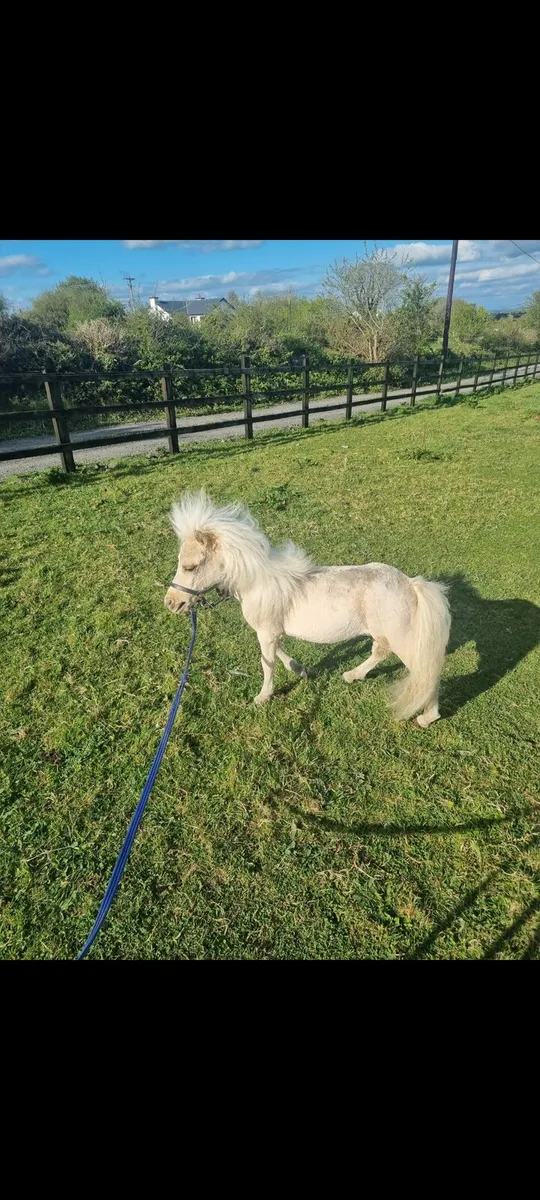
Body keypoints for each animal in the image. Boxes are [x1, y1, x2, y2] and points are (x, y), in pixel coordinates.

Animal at [164, 490, 451, 728]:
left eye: (190, 566)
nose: (171, 602)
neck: (258, 583)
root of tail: (410, 584)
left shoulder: (266, 632)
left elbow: (267, 663)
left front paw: (263, 697)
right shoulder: (271, 631)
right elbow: (279, 653)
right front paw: (301, 670)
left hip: (402, 638)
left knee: (424, 672)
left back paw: (427, 717)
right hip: (382, 633)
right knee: (380, 652)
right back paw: (352, 675)